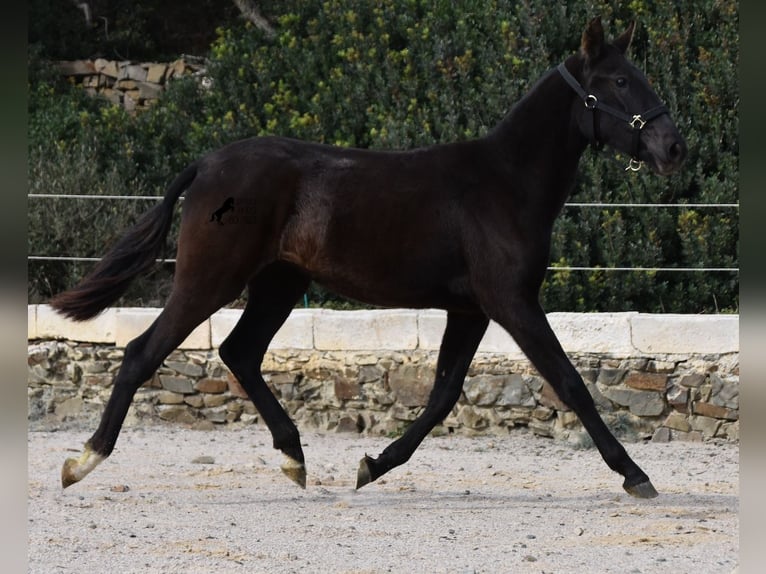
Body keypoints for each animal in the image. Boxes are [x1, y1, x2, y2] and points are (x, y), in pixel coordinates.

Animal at [54, 19, 688, 500]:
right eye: (619, 80)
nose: (674, 148)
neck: (503, 184)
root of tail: (207, 164)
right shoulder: (511, 302)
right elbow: (569, 381)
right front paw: (635, 475)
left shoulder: (471, 309)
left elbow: (443, 395)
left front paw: (372, 465)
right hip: (210, 279)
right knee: (144, 352)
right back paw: (82, 461)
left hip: (278, 284)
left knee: (240, 352)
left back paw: (294, 458)